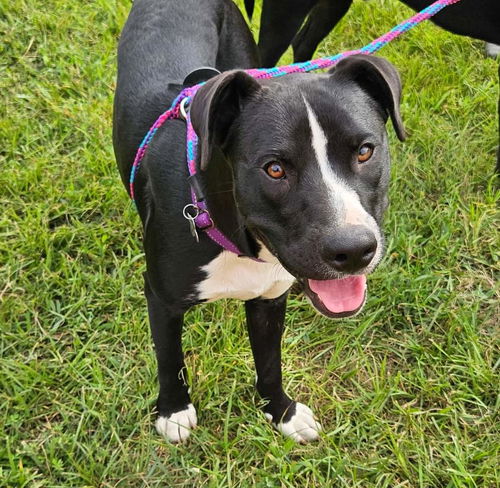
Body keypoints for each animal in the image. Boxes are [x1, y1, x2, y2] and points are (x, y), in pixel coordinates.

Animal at [112, 0, 402, 444]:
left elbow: (269, 363)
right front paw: (173, 411)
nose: (353, 250)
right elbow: (169, 357)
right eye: (275, 169)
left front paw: (281, 412)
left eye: (365, 151)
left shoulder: (270, 298)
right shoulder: (161, 299)